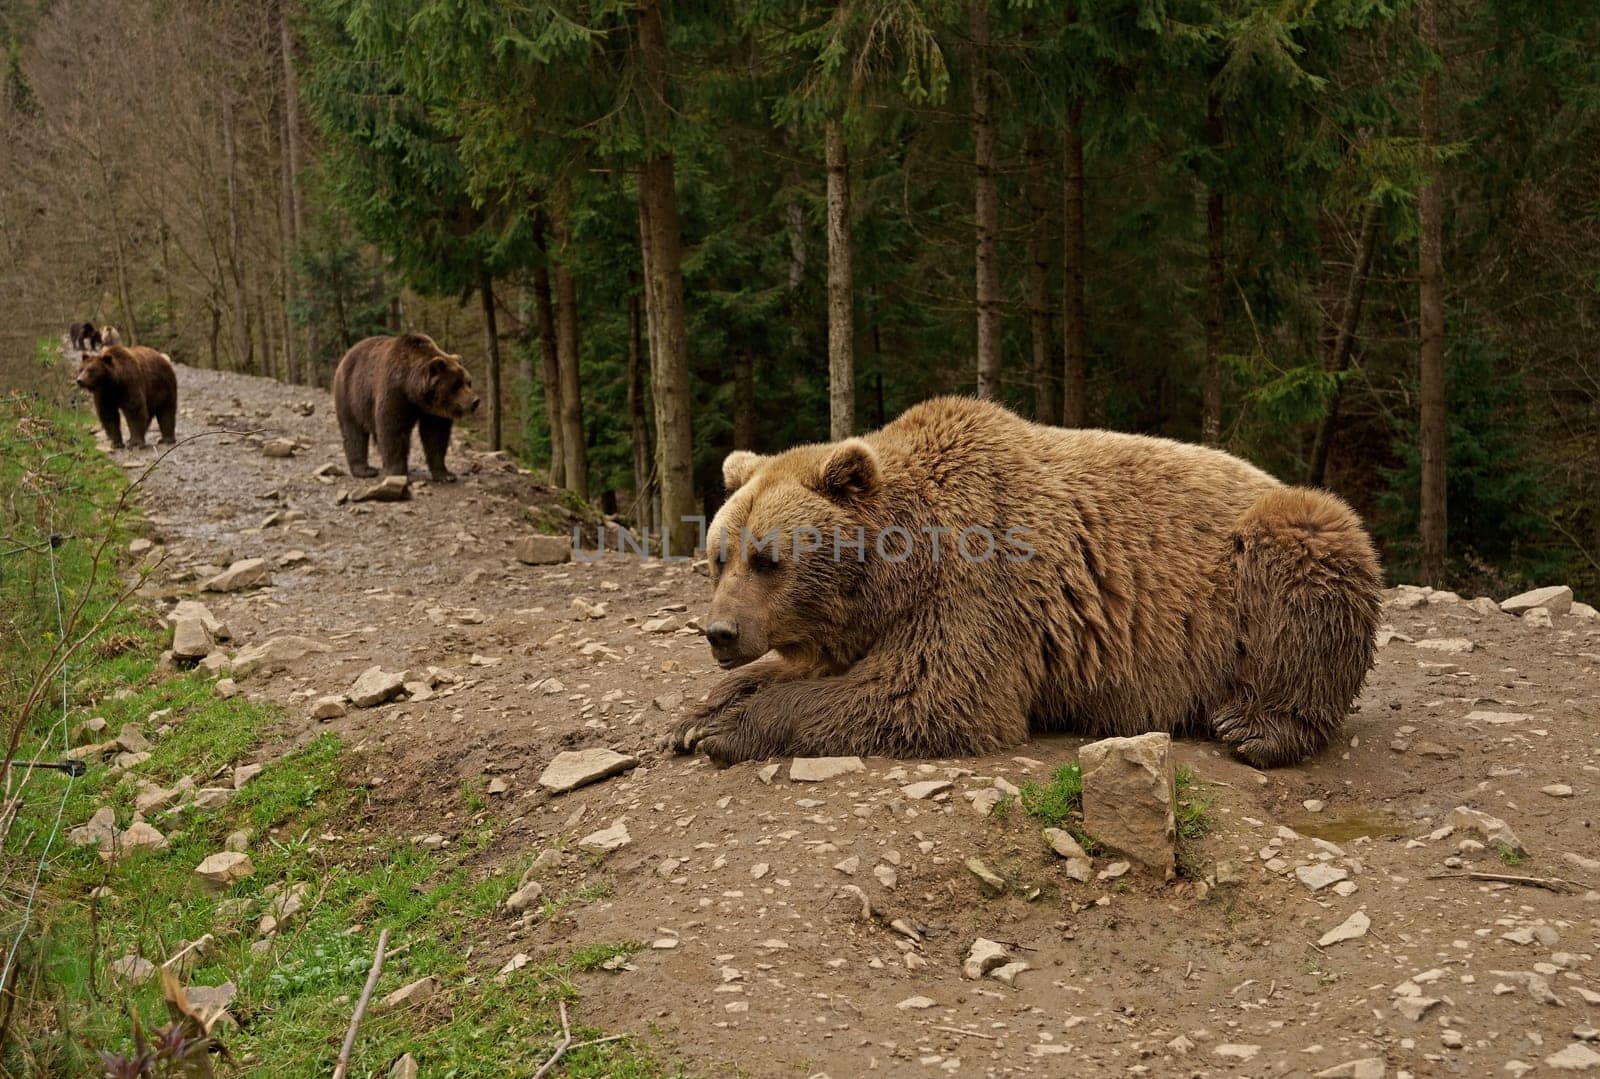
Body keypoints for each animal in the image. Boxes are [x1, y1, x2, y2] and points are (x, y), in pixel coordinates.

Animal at [332, 328, 476, 480]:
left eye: (468, 382)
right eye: (456, 385)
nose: (475, 401)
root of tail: (347, 353)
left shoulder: (433, 410)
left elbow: (436, 435)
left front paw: (445, 474)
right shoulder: (395, 392)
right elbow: (392, 429)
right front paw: (396, 472)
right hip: (350, 393)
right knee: (353, 431)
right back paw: (365, 470)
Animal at [668, 395, 1382, 765]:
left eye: (769, 559)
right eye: (720, 555)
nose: (721, 632)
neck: (902, 569)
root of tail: (1266, 472)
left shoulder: (981, 587)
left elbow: (928, 694)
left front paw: (729, 730)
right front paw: (696, 714)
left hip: (1262, 562)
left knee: (1307, 563)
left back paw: (1255, 727)